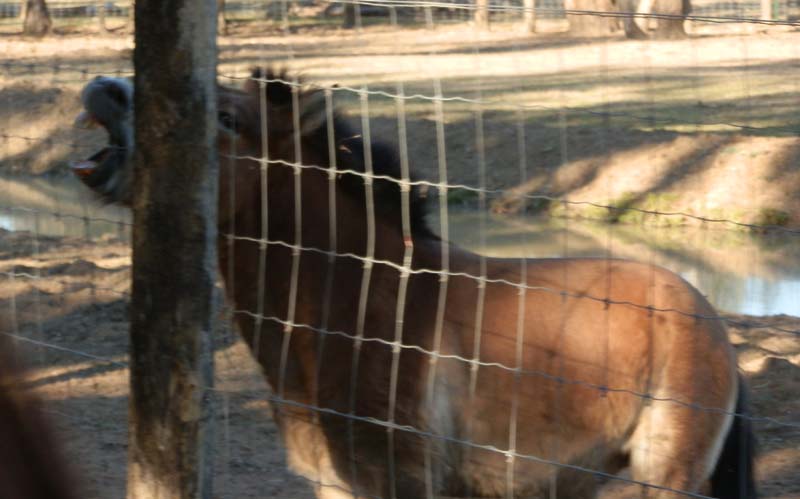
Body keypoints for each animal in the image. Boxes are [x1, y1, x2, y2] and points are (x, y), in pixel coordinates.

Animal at [72, 70, 756, 499]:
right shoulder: (335, 482)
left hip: (664, 478)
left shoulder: (398, 480)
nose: (106, 90)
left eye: (225, 116)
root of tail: (706, 317)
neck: (357, 298)